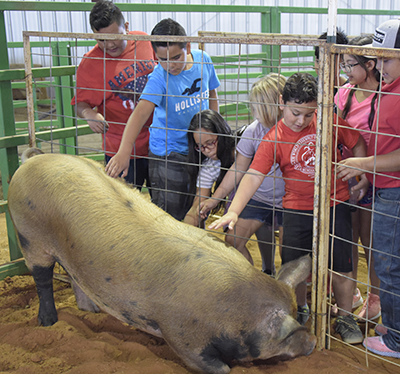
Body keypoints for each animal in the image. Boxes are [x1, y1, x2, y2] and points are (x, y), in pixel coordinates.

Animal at [7, 149, 316, 374]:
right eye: (285, 334)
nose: (312, 342)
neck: (234, 305)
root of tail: (33, 159)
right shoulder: (181, 334)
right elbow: (215, 367)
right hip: (29, 236)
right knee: (42, 279)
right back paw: (48, 322)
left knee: (75, 278)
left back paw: (92, 312)